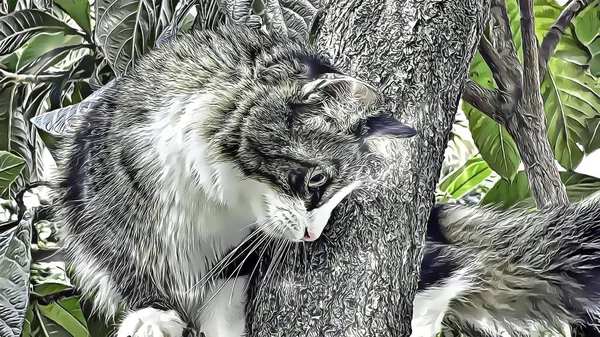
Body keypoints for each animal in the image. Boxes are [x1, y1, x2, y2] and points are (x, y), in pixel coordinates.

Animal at [50, 23, 418, 336]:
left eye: (340, 197)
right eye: (317, 180)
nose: (311, 235)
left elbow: (225, 289)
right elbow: (128, 262)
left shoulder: (237, 251)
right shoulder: (93, 199)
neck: (207, 193)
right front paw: (152, 315)